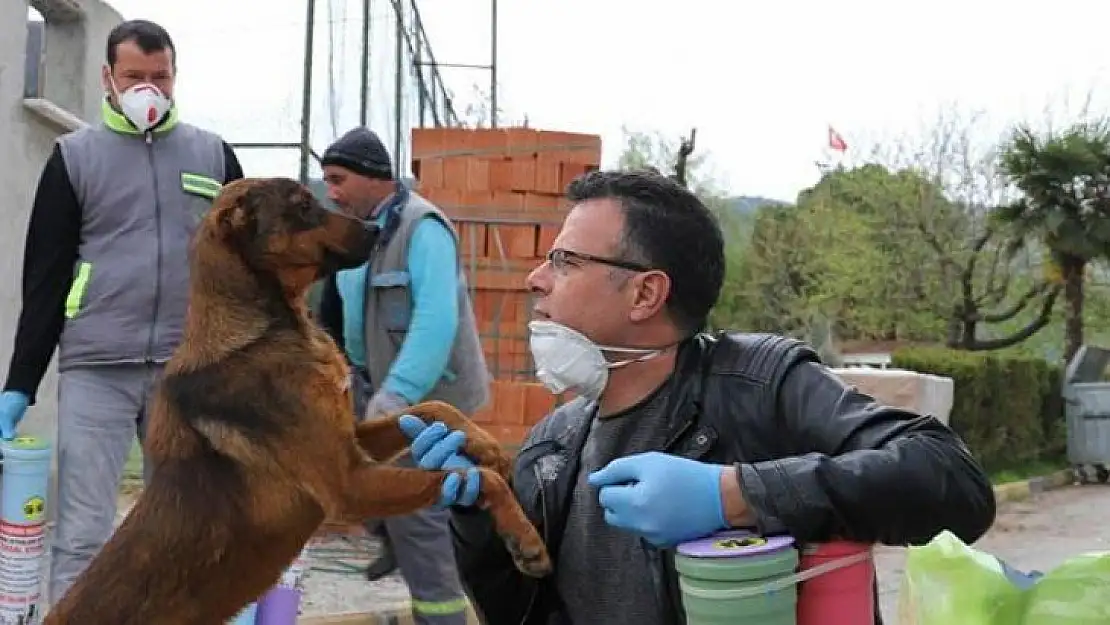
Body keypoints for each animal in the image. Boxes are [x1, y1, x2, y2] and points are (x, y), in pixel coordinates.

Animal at [46, 177, 550, 625]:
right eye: (305, 206)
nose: (376, 229)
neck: (258, 332)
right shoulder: (350, 484)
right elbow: (475, 478)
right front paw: (525, 538)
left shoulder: (352, 442)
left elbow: (436, 410)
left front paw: (488, 446)